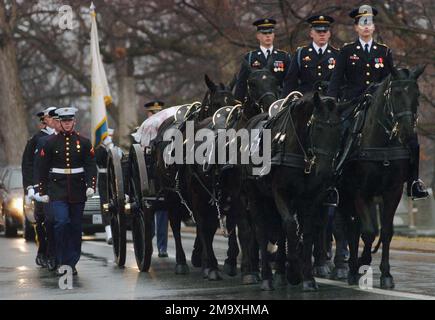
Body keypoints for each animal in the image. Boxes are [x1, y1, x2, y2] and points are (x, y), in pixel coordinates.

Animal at [242, 92, 344, 290]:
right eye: (319, 128)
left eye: (338, 131)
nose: (326, 173)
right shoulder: (280, 192)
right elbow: (290, 225)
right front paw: (295, 272)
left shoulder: (311, 197)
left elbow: (307, 231)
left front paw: (307, 277)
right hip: (255, 195)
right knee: (261, 230)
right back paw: (266, 276)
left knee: (279, 230)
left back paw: (280, 272)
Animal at [334, 65, 426, 290]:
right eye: (396, 93)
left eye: (417, 94)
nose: (407, 133)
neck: (382, 143)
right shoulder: (360, 192)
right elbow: (368, 232)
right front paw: (362, 262)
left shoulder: (392, 192)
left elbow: (385, 232)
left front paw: (386, 274)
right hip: (344, 196)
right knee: (349, 228)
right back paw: (349, 268)